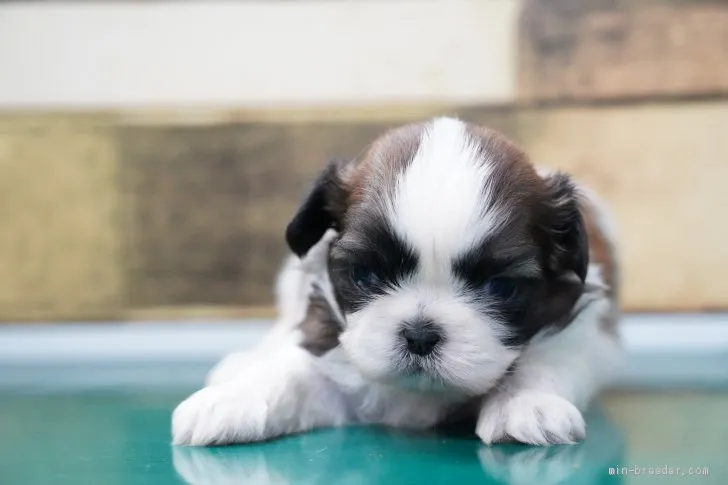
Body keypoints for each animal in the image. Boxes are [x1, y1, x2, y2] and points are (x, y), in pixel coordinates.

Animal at [171, 116, 620, 446]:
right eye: (365, 274)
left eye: (500, 287)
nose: (420, 335)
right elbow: (293, 373)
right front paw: (233, 400)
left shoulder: (581, 334)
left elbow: (546, 361)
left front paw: (527, 402)